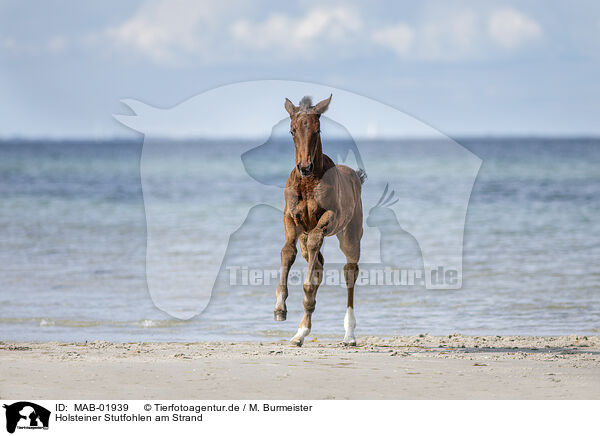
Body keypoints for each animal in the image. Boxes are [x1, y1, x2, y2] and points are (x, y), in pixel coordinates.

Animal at [274, 95, 366, 348]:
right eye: (292, 130)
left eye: (318, 130)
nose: (305, 167)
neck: (307, 184)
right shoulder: (290, 218)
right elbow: (287, 251)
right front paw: (280, 307)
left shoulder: (328, 218)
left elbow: (316, 242)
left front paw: (303, 294)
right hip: (305, 237)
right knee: (318, 264)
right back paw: (300, 332)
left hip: (350, 236)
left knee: (349, 272)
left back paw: (349, 335)